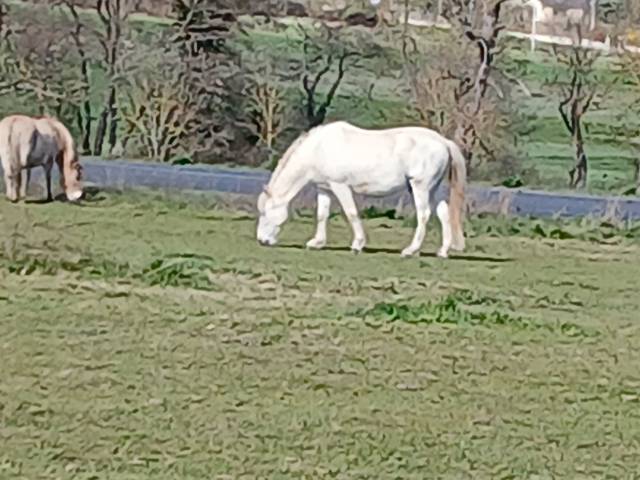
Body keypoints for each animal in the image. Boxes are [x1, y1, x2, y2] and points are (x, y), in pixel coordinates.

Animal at [256, 121, 466, 258]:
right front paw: (317, 243)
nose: (261, 240)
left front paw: (358, 244)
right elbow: (322, 215)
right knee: (443, 214)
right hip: (433, 189)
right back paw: (442, 251)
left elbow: (351, 213)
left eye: (265, 212)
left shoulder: (340, 186)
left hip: (420, 187)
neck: (318, 149)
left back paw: (410, 250)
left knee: (424, 215)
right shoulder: (324, 188)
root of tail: (444, 142)